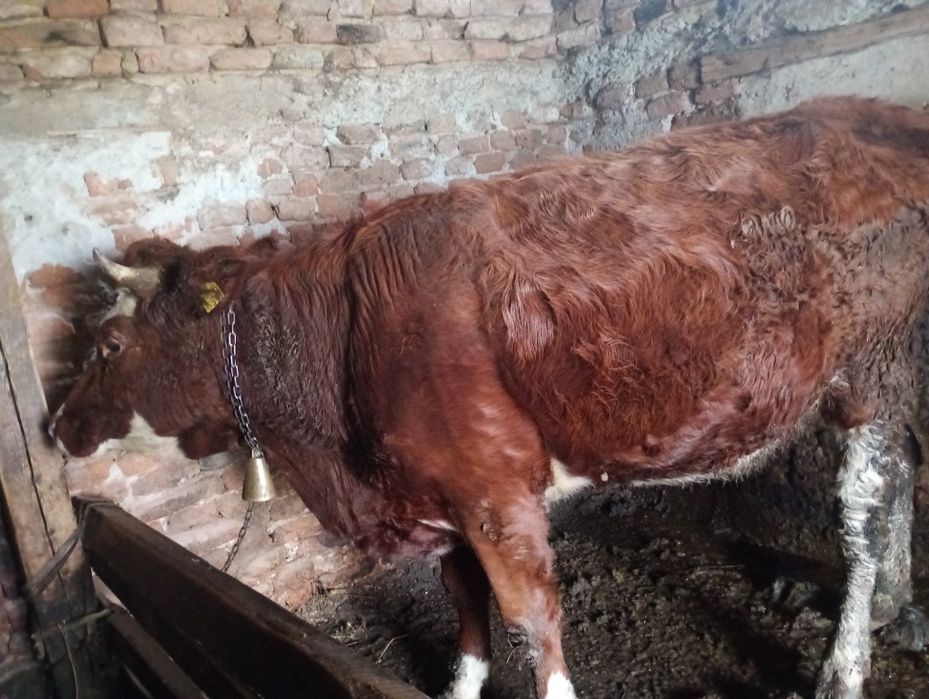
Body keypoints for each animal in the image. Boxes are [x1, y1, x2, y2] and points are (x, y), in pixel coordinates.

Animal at [50, 96, 929, 699]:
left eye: (110, 344)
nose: (57, 425)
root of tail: (877, 111)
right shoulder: (434, 494)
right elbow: (464, 608)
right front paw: (458, 685)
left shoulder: (495, 492)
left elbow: (530, 619)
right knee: (902, 479)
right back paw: (896, 610)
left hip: (873, 370)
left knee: (864, 513)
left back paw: (844, 663)